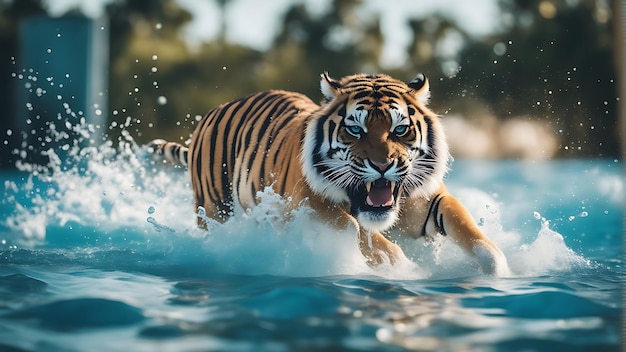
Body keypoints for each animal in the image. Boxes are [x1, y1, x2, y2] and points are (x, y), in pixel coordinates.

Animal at [150, 72, 508, 276]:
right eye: (355, 129)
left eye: (400, 129)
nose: (382, 165)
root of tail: (214, 110)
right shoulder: (307, 204)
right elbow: (357, 229)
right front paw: (407, 271)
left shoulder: (431, 199)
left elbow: (470, 229)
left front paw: (500, 271)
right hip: (216, 210)